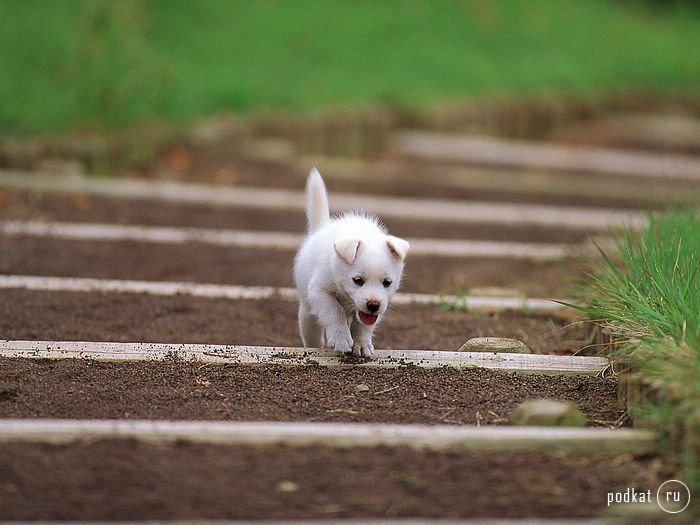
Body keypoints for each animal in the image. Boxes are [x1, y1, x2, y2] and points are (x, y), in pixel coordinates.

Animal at [292, 168, 410, 356]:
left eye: (387, 282)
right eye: (357, 281)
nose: (373, 305)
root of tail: (320, 229)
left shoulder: (375, 310)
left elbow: (363, 326)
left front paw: (361, 344)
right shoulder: (319, 291)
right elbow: (335, 312)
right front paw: (341, 339)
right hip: (307, 314)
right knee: (312, 334)